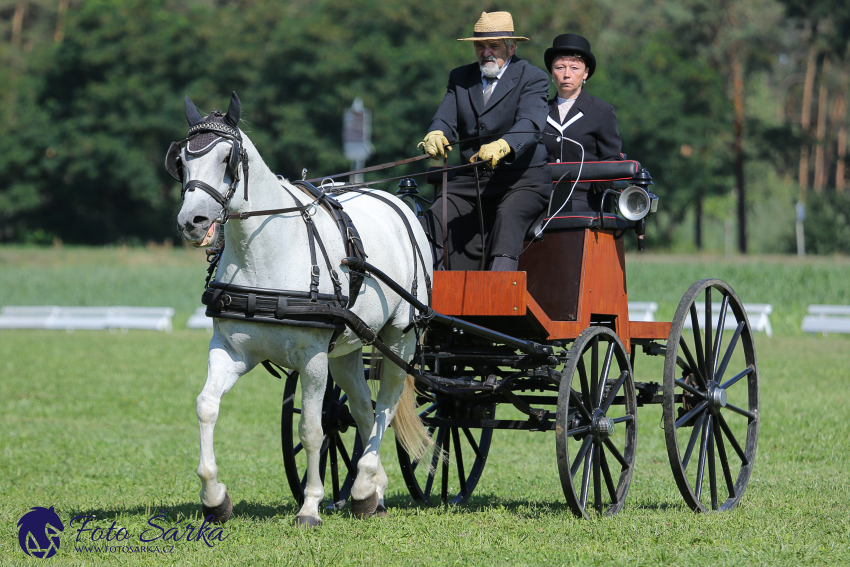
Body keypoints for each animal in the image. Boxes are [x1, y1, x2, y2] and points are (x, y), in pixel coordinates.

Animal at [171, 92, 428, 528]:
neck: (264, 255)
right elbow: (206, 406)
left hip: (400, 338)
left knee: (385, 409)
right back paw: (370, 490)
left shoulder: (312, 358)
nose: (193, 221)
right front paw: (214, 497)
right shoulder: (231, 350)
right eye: (182, 161)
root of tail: (401, 203)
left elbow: (311, 428)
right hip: (347, 348)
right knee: (362, 410)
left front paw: (310, 506)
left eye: (226, 159)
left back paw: (364, 483)